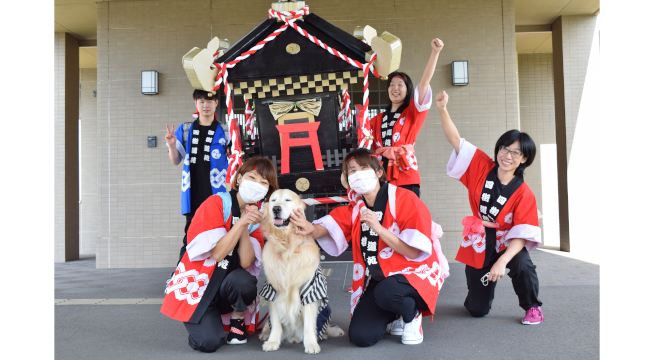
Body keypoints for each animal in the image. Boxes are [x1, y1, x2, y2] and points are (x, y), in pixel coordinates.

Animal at [258, 190, 346, 352]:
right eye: (273, 200)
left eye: (287, 200)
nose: (276, 209)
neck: (287, 245)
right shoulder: (273, 291)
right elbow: (276, 323)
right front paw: (273, 341)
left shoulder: (310, 291)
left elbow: (309, 324)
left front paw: (311, 344)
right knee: (269, 324)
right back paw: (265, 334)